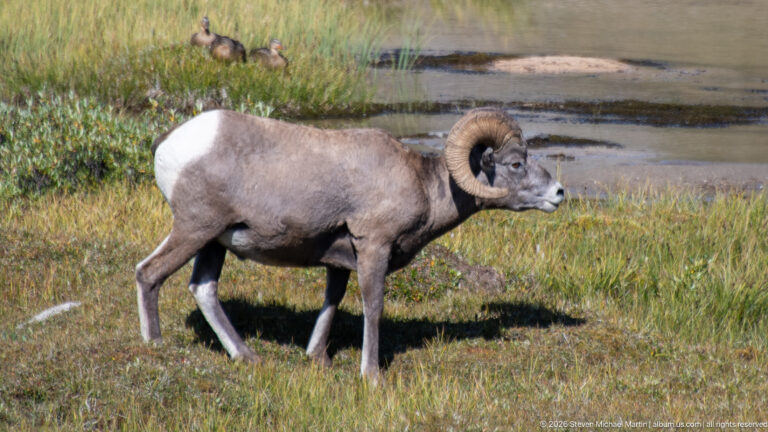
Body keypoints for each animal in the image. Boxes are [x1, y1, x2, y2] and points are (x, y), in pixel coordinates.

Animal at [136, 107, 564, 381]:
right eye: (515, 164)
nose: (559, 193)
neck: (425, 187)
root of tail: (170, 141)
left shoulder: (339, 262)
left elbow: (333, 302)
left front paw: (317, 358)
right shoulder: (373, 247)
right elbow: (372, 308)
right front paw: (371, 376)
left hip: (214, 241)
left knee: (203, 288)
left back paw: (249, 358)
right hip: (195, 229)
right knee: (148, 273)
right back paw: (155, 344)